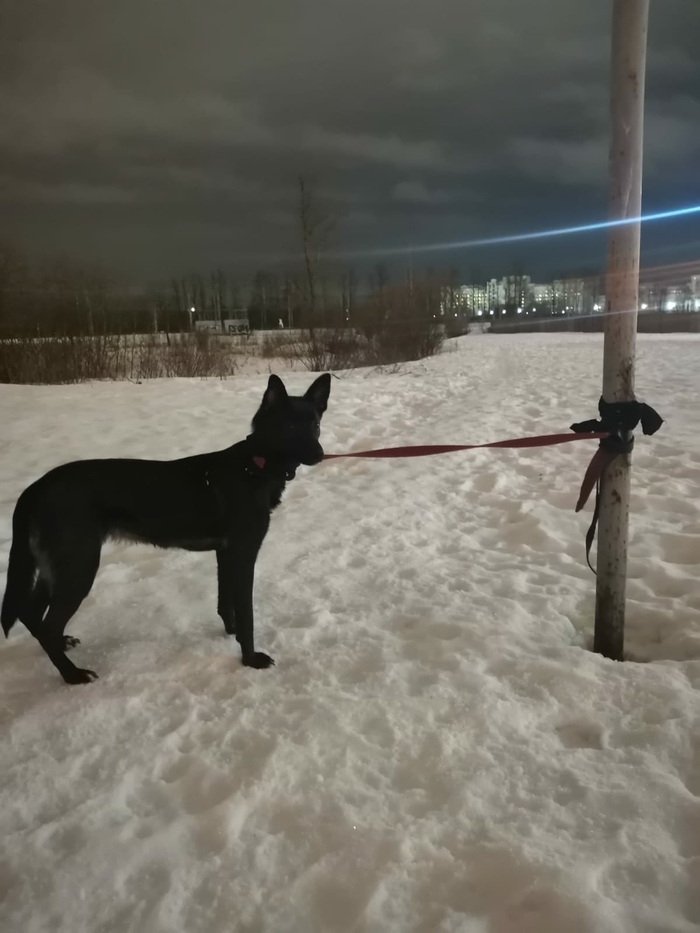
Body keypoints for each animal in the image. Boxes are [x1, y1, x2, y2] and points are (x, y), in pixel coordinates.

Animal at [1, 374, 332, 684]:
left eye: (315, 425)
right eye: (290, 426)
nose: (319, 454)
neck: (255, 465)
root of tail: (36, 487)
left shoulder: (225, 553)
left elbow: (226, 603)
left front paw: (231, 633)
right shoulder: (243, 553)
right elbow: (247, 613)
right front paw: (250, 659)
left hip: (58, 564)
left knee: (31, 612)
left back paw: (62, 648)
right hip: (78, 565)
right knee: (47, 623)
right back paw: (72, 675)